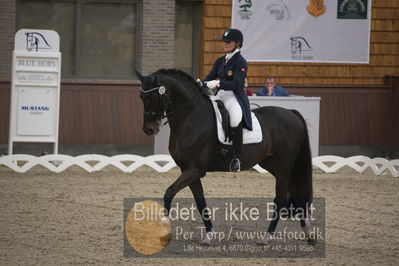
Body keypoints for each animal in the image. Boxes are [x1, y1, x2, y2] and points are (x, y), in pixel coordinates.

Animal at [138, 69, 316, 245]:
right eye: (141, 96)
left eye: (152, 96)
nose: (149, 129)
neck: (192, 117)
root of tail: (292, 113)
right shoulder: (188, 170)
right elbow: (200, 201)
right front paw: (209, 235)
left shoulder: (195, 169)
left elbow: (169, 192)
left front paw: (163, 233)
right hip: (272, 164)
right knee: (294, 190)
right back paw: (308, 233)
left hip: (284, 163)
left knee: (280, 197)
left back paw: (267, 237)